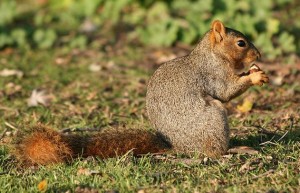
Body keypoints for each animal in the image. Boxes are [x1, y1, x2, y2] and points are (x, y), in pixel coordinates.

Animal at [11, 20, 268, 166]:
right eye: (241, 43)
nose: (259, 56)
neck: (214, 55)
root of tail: (177, 147)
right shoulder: (213, 74)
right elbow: (225, 91)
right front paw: (255, 76)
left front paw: (256, 71)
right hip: (214, 118)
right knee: (213, 151)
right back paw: (234, 150)